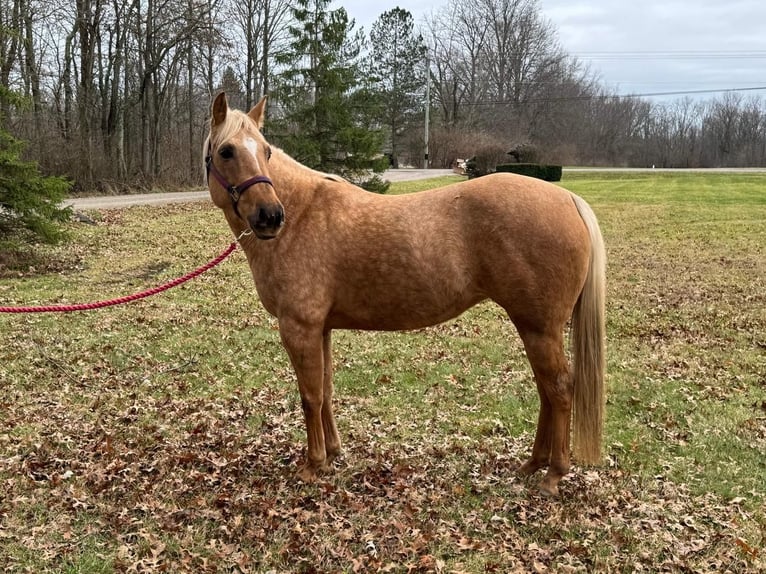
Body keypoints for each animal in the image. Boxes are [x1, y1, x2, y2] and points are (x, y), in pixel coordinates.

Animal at [202, 92, 608, 498]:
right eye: (226, 151)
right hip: (535, 327)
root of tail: (569, 198)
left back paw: (553, 474)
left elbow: (310, 396)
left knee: (559, 389)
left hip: (539, 327)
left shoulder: (298, 328)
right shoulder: (320, 328)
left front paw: (312, 465)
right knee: (546, 390)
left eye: (266, 151)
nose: (270, 216)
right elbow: (326, 391)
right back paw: (533, 464)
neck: (303, 215)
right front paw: (332, 453)